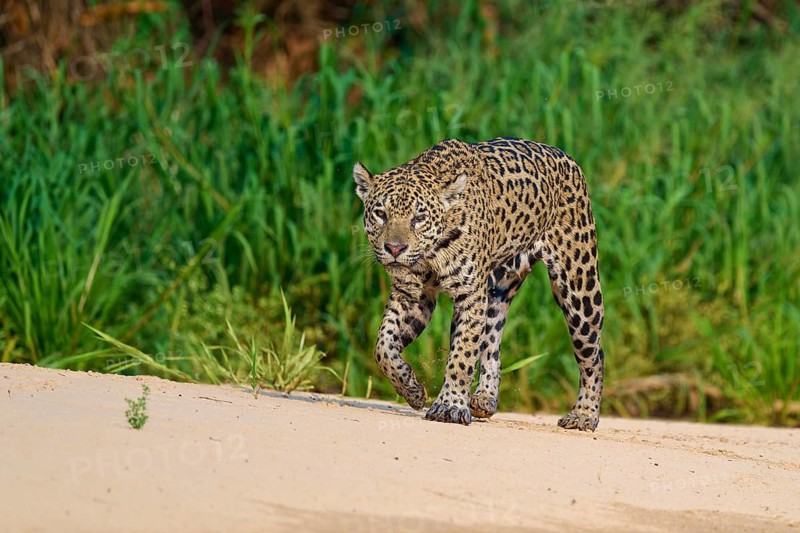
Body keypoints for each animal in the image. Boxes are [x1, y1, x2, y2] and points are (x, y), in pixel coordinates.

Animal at [353, 137, 605, 431]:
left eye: (419, 218)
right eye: (380, 214)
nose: (394, 248)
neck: (433, 251)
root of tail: (565, 155)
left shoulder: (470, 294)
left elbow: (462, 355)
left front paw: (449, 406)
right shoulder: (413, 296)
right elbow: (383, 346)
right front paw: (412, 389)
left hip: (579, 288)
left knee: (594, 355)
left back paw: (584, 415)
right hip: (497, 290)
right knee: (492, 345)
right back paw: (485, 399)